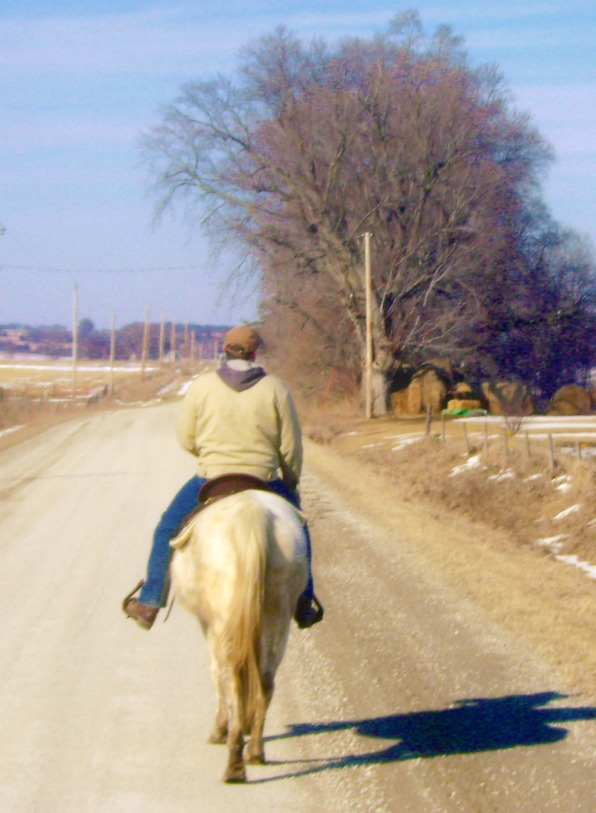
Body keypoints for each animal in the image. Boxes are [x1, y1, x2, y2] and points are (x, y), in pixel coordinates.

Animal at [169, 486, 304, 784]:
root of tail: (252, 516)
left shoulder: (207, 623)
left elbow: (216, 673)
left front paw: (220, 728)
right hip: (277, 616)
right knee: (265, 680)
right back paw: (254, 751)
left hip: (225, 621)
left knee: (230, 676)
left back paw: (233, 761)